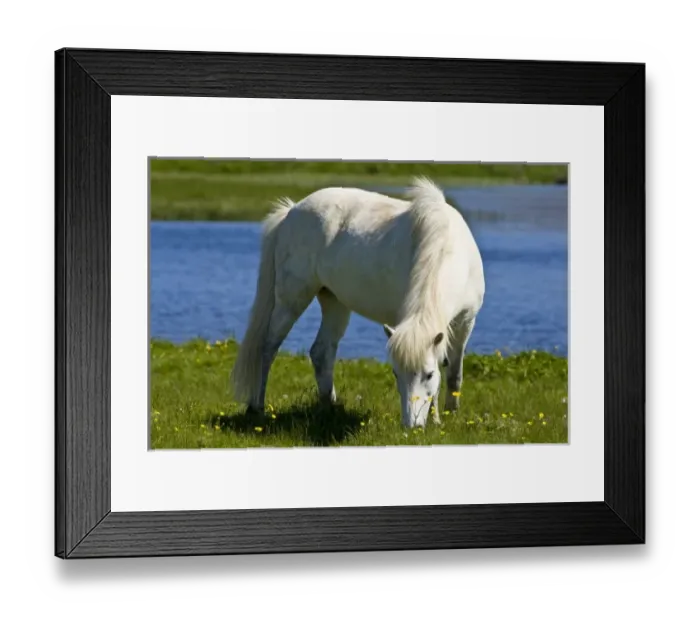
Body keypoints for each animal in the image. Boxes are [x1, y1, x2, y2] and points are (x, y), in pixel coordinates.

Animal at [231, 177, 485, 428]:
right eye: (395, 373)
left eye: (429, 374)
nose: (411, 426)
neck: (445, 248)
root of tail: (291, 211)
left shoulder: (466, 321)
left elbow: (453, 373)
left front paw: (447, 416)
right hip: (291, 298)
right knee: (268, 348)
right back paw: (257, 407)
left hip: (334, 302)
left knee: (321, 352)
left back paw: (330, 407)